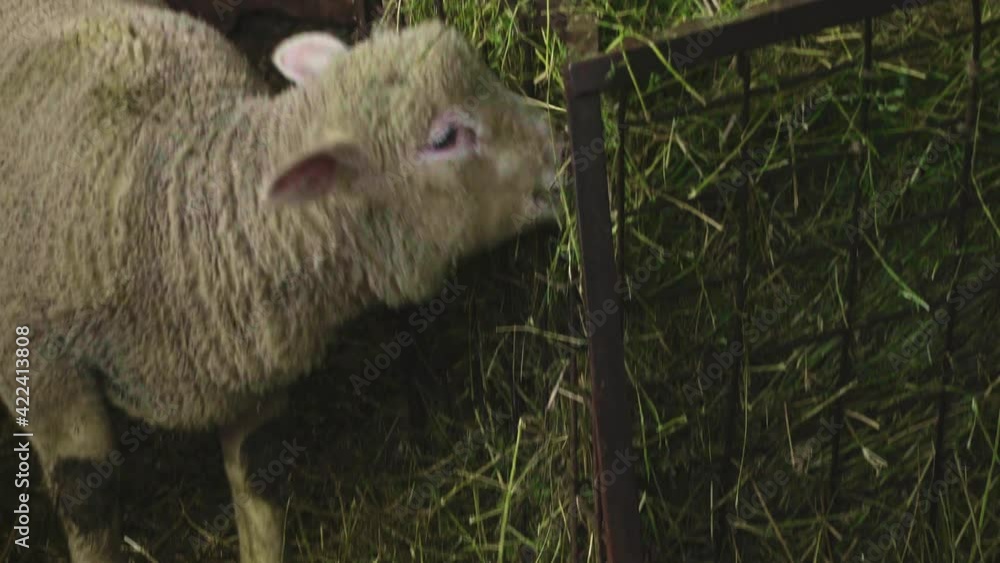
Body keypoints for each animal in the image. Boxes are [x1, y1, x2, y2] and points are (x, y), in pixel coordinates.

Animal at [0, 1, 562, 561]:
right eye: (445, 138)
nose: (557, 151)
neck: (174, 212)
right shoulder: (47, 373)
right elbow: (88, 500)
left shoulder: (252, 369)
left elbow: (259, 479)